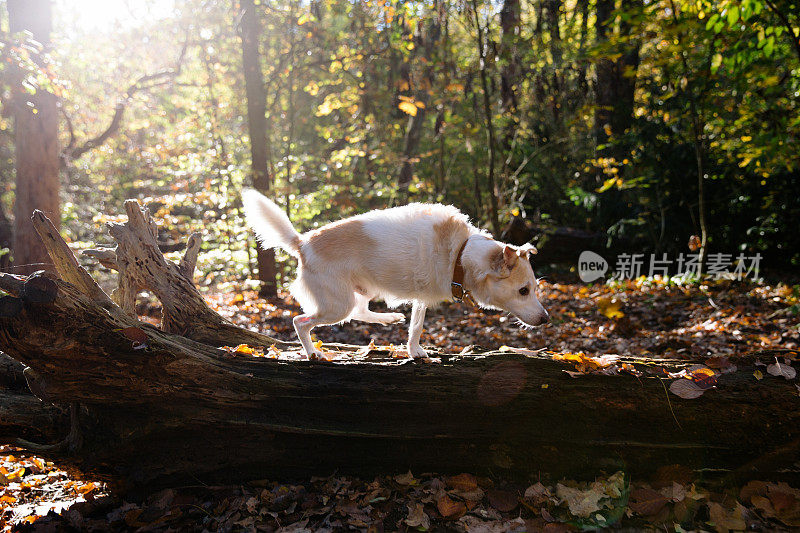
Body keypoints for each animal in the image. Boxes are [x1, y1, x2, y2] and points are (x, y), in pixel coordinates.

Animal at [241, 189, 548, 360]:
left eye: (534, 289)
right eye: (523, 291)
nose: (546, 319)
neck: (461, 253)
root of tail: (303, 242)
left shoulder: (421, 298)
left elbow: (415, 326)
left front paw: (413, 349)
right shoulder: (423, 295)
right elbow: (417, 328)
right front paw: (416, 352)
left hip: (360, 293)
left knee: (360, 311)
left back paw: (389, 318)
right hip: (336, 305)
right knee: (301, 322)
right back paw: (313, 353)